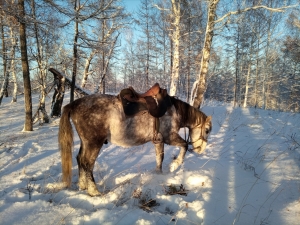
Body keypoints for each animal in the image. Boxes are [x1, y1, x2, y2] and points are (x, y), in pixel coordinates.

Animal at [58, 90, 212, 196]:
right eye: (207, 130)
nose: (199, 150)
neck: (173, 111)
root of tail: (73, 104)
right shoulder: (169, 137)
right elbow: (184, 146)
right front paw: (175, 165)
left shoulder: (159, 141)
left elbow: (159, 158)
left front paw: (158, 174)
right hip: (94, 143)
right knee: (87, 163)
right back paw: (93, 191)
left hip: (86, 142)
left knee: (79, 159)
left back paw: (82, 186)